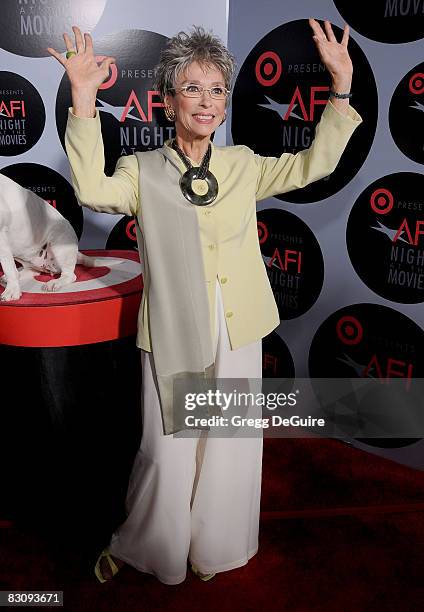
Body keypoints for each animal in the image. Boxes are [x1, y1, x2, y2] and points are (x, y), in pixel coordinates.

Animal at [0, 172, 105, 302]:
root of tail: (76, 253)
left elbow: (9, 269)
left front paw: (12, 291)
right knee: (33, 271)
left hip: (59, 245)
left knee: (69, 275)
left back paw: (55, 282)